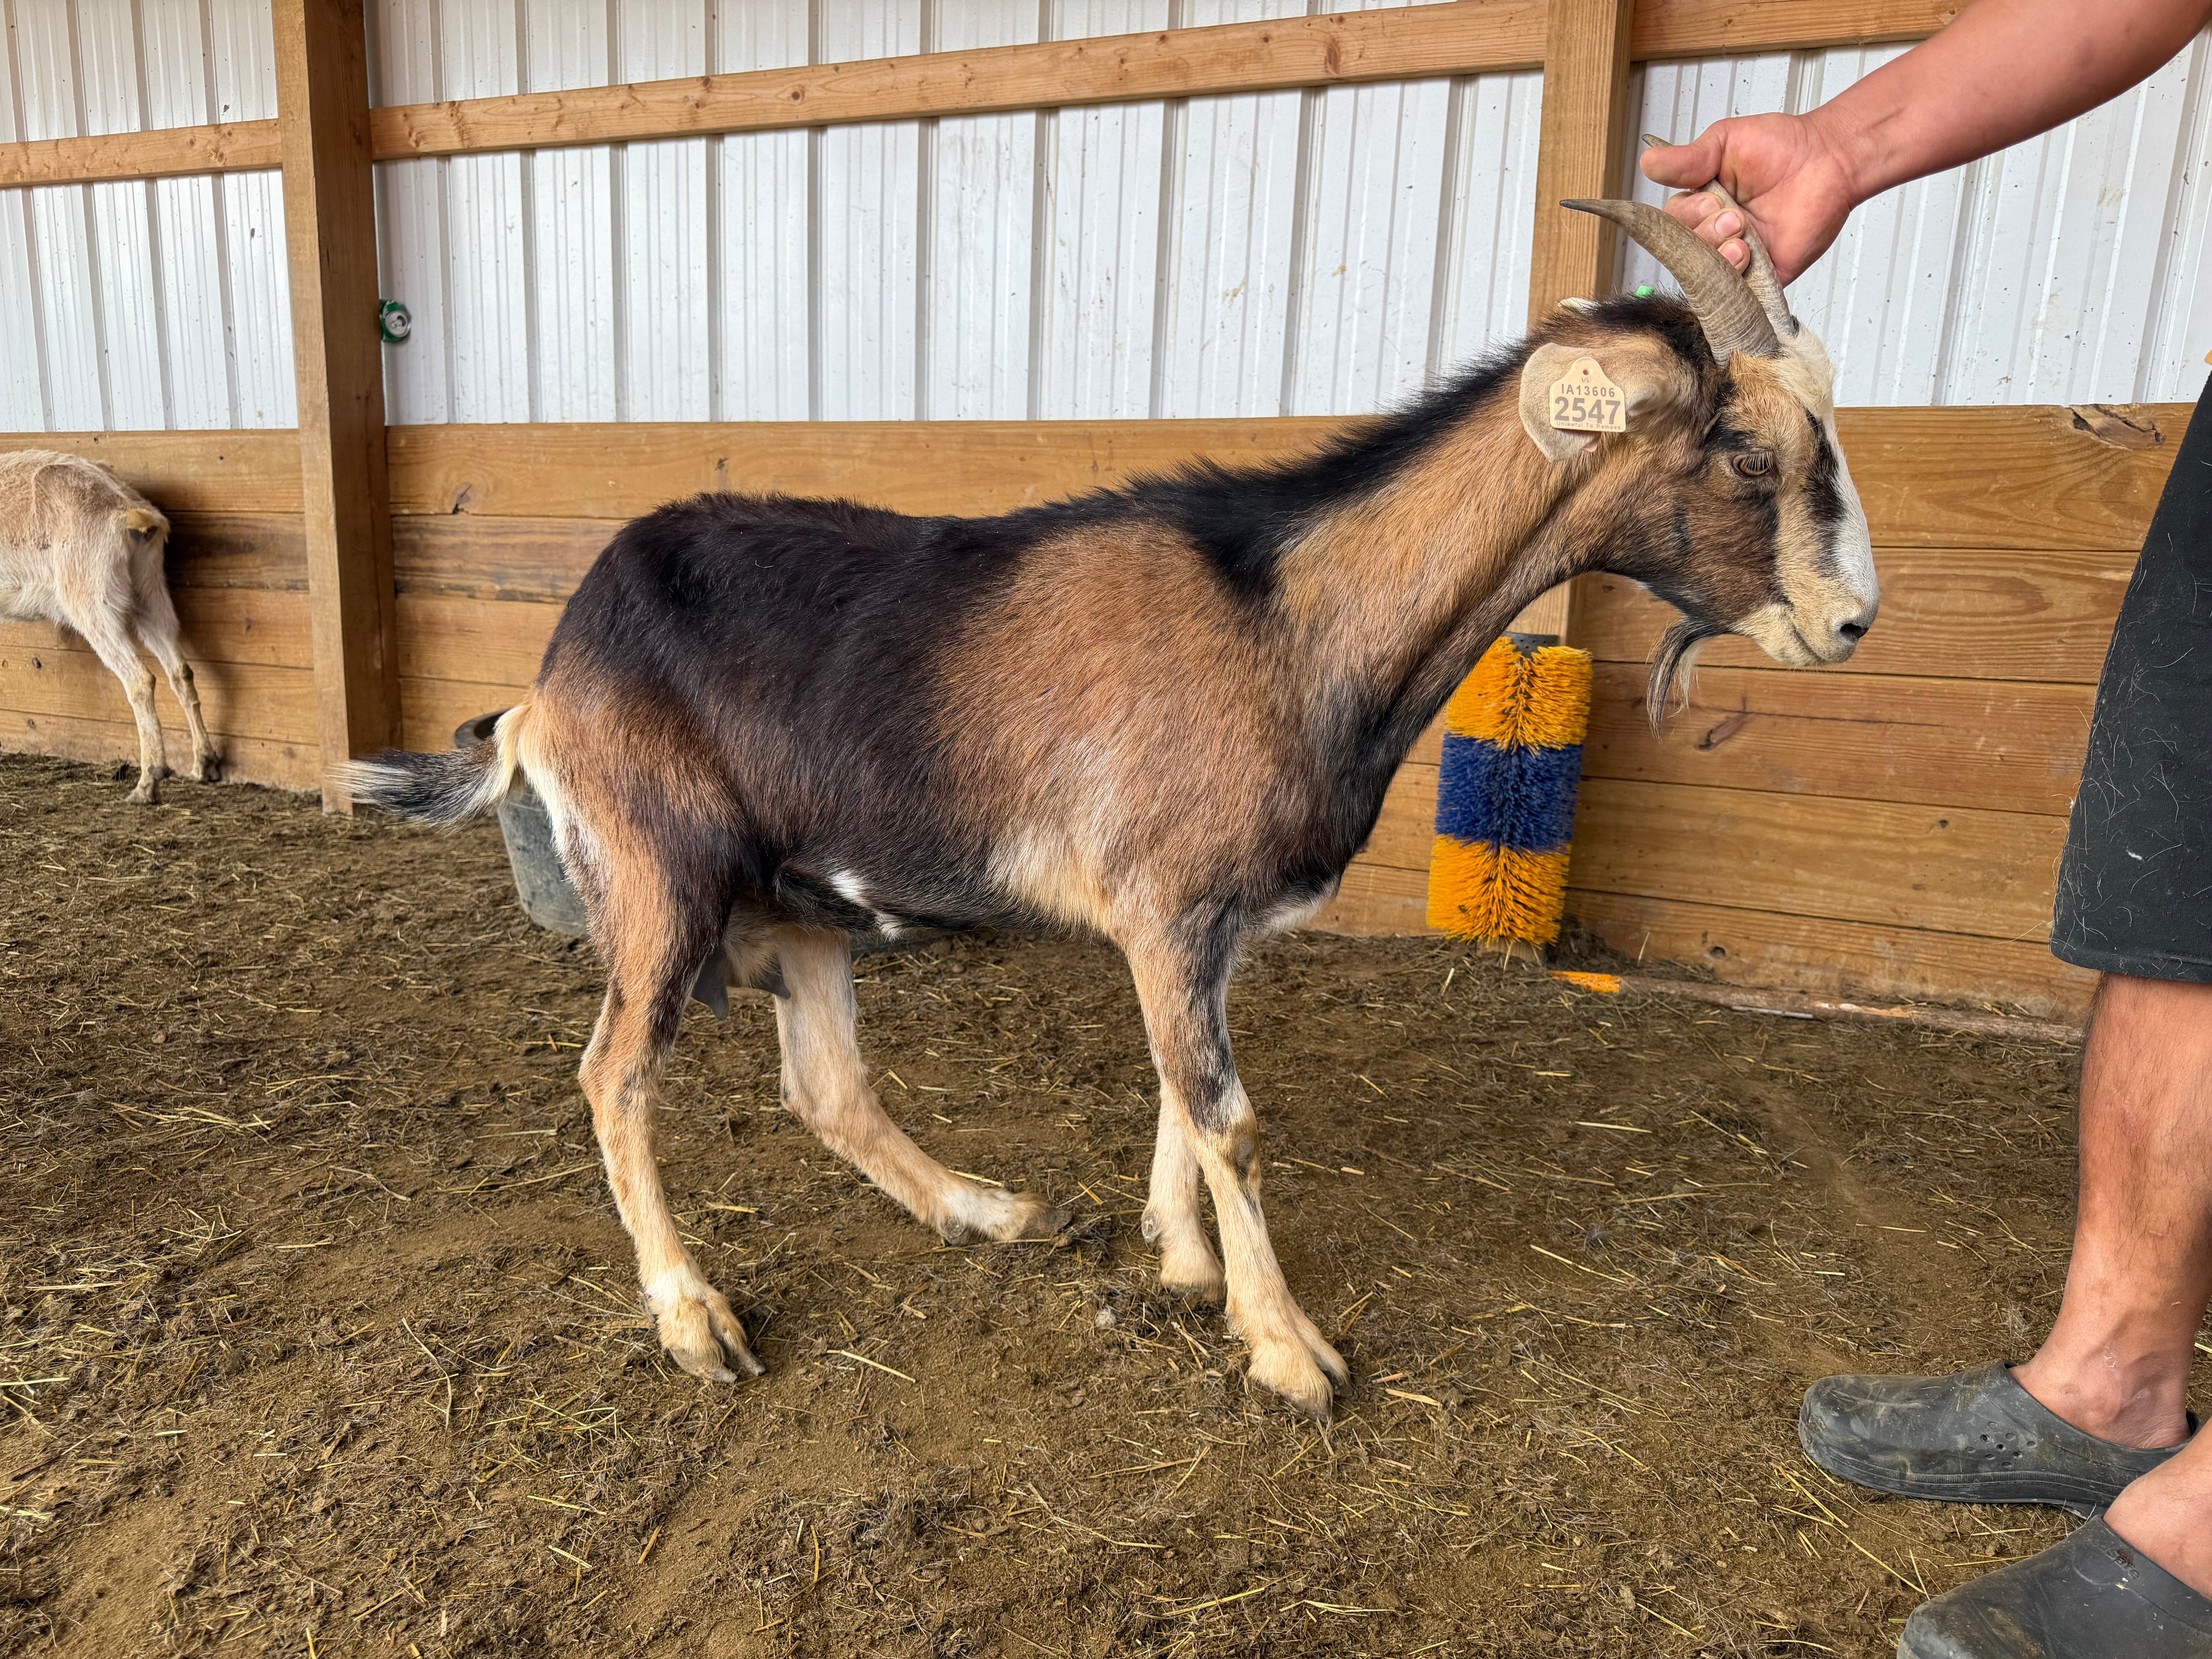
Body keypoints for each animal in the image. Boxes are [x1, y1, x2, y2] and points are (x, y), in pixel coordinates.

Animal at [0, 451, 222, 803]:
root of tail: (127, 509)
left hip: (91, 600)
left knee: (141, 679)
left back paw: (148, 782)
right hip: (149, 591)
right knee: (181, 671)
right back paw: (205, 763)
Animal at [343, 201, 1877, 1416]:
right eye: (1745, 448)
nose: (1851, 621)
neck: (1291, 622)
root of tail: (550, 676)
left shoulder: (1194, 922)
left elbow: (1173, 1087)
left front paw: (1181, 1256)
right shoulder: (1172, 902)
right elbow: (1230, 1116)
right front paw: (1287, 1348)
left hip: (806, 903)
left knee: (826, 1087)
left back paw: (986, 1209)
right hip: (661, 876)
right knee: (616, 1073)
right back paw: (694, 1319)